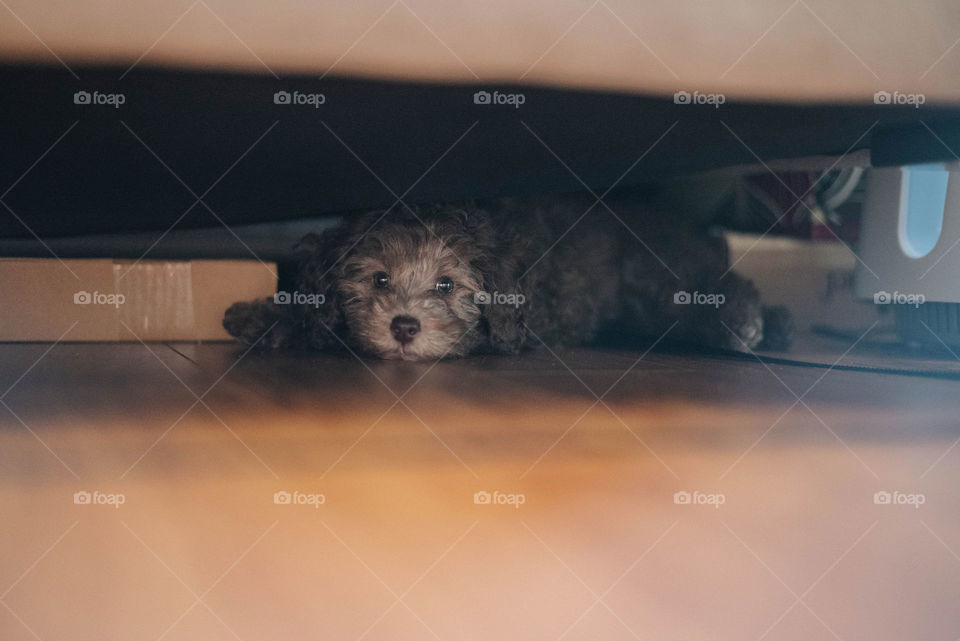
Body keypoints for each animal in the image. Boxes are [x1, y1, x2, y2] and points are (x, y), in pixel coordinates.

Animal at [225, 190, 796, 360]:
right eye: (379, 280)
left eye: (447, 285)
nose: (404, 327)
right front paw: (259, 317)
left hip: (656, 279)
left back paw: (744, 323)